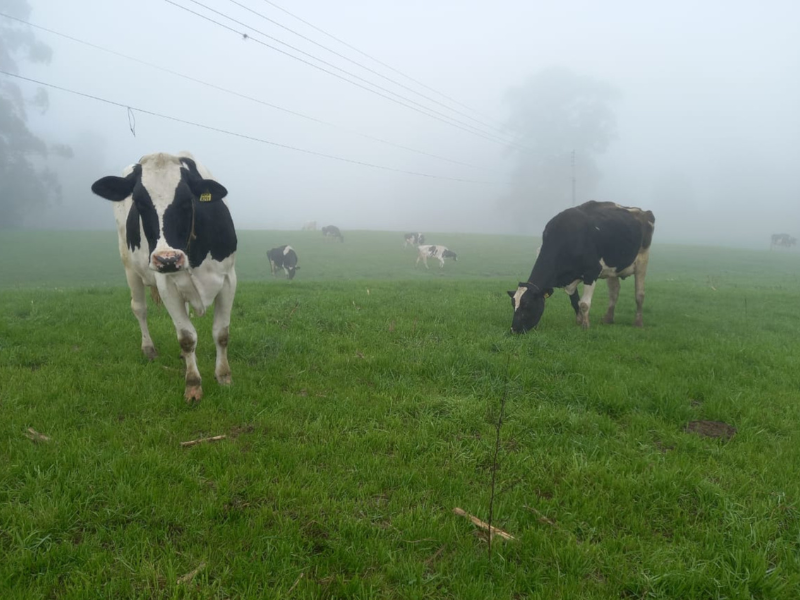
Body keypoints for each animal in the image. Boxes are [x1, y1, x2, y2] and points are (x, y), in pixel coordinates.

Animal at [91, 151, 237, 402]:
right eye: (139, 202)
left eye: (187, 200)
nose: (168, 259)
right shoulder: (167, 283)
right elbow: (187, 337)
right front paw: (193, 384)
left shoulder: (228, 279)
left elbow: (221, 333)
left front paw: (224, 377)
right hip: (130, 267)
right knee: (139, 308)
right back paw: (149, 348)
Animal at [508, 200, 655, 333]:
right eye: (513, 304)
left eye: (527, 305)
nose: (514, 329)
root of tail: (643, 211)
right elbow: (575, 301)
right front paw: (578, 321)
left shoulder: (592, 272)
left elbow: (584, 303)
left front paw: (585, 326)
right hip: (612, 268)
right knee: (614, 292)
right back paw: (608, 318)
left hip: (642, 261)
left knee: (639, 294)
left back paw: (638, 322)